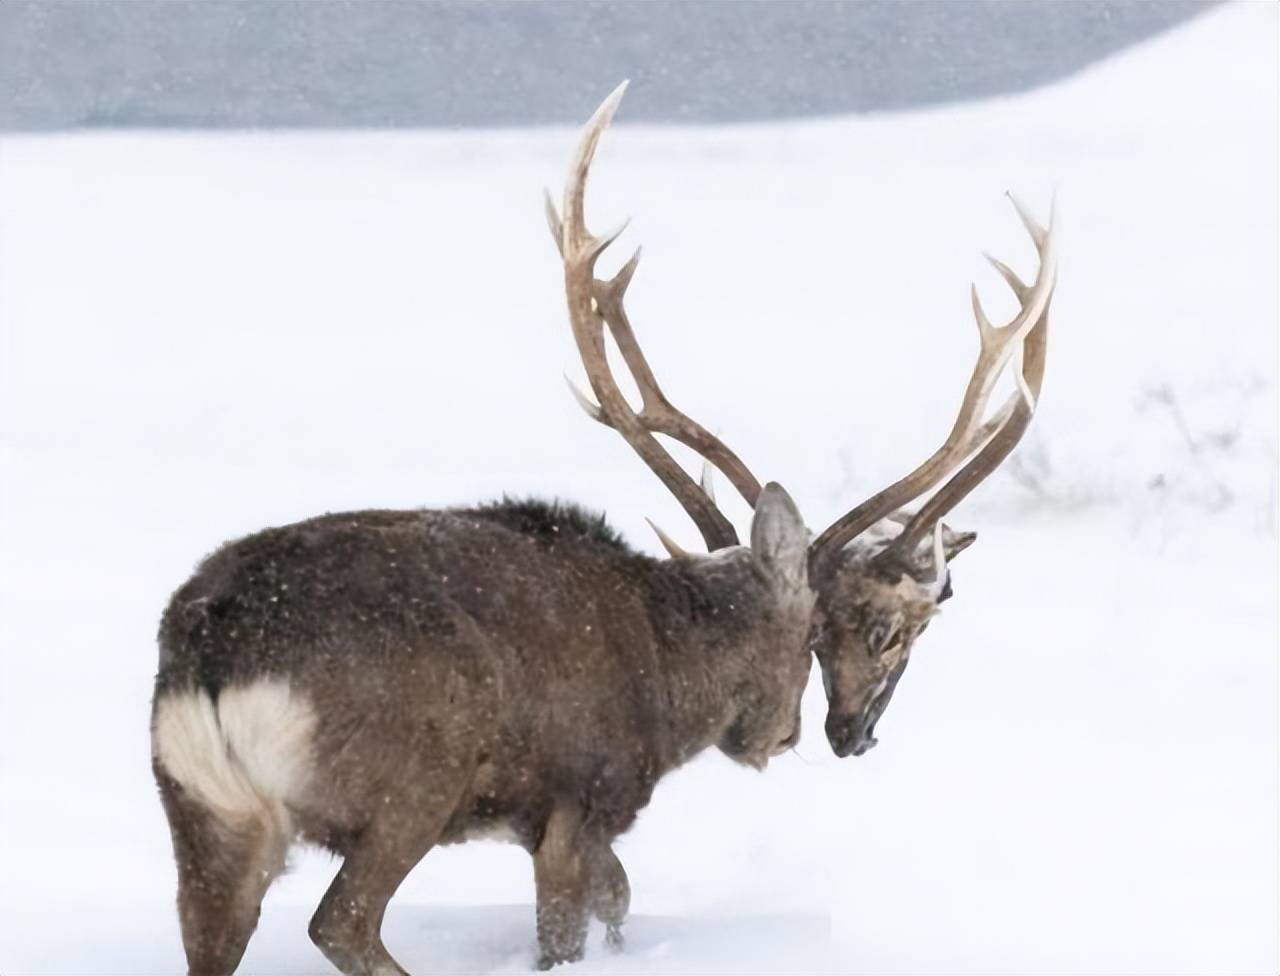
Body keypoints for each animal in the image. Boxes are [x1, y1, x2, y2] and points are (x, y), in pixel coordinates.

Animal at [149, 83, 1059, 973]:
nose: (810, 734)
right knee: (341, 921)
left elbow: (620, 900)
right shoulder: (579, 797)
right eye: (824, 629)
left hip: (200, 810)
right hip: (412, 779)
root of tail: (213, 661)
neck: (668, 669)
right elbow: (579, 921)